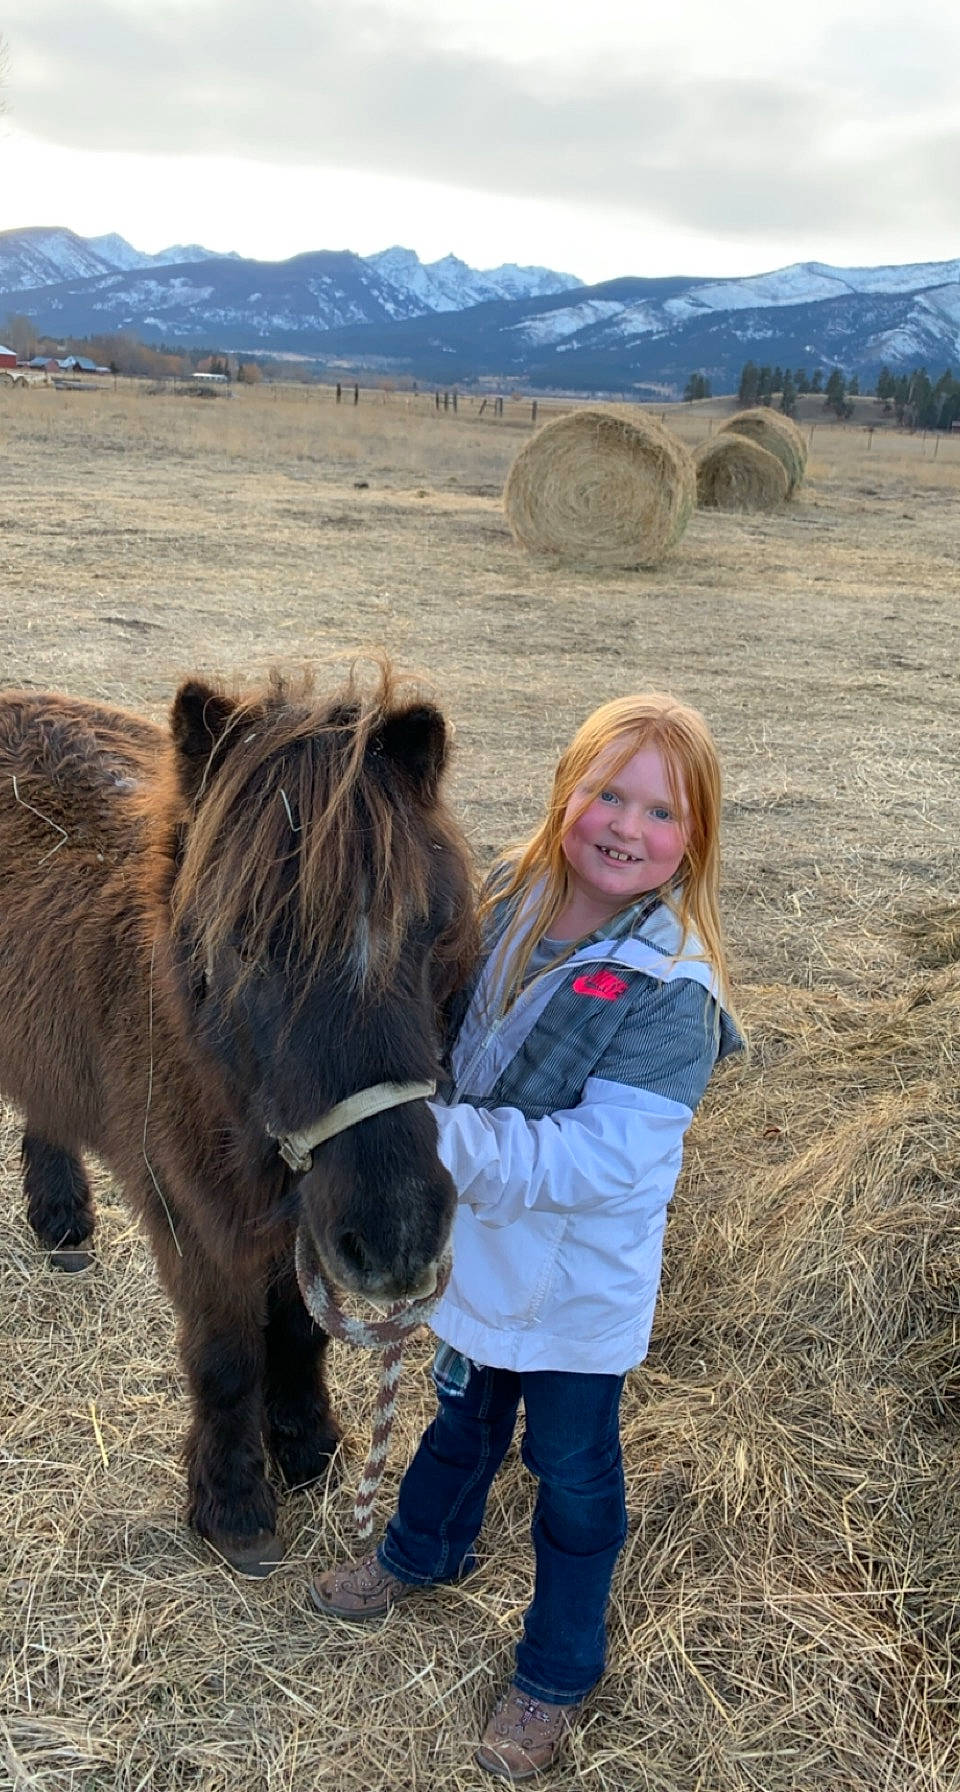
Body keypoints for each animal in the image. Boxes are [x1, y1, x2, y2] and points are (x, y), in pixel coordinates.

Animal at [0, 666, 477, 1573]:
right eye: (245, 944)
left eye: (429, 930)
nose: (399, 1239)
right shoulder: (193, 1218)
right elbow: (224, 1356)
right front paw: (234, 1506)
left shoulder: (303, 1219)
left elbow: (298, 1331)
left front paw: (305, 1446)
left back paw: (63, 1222)